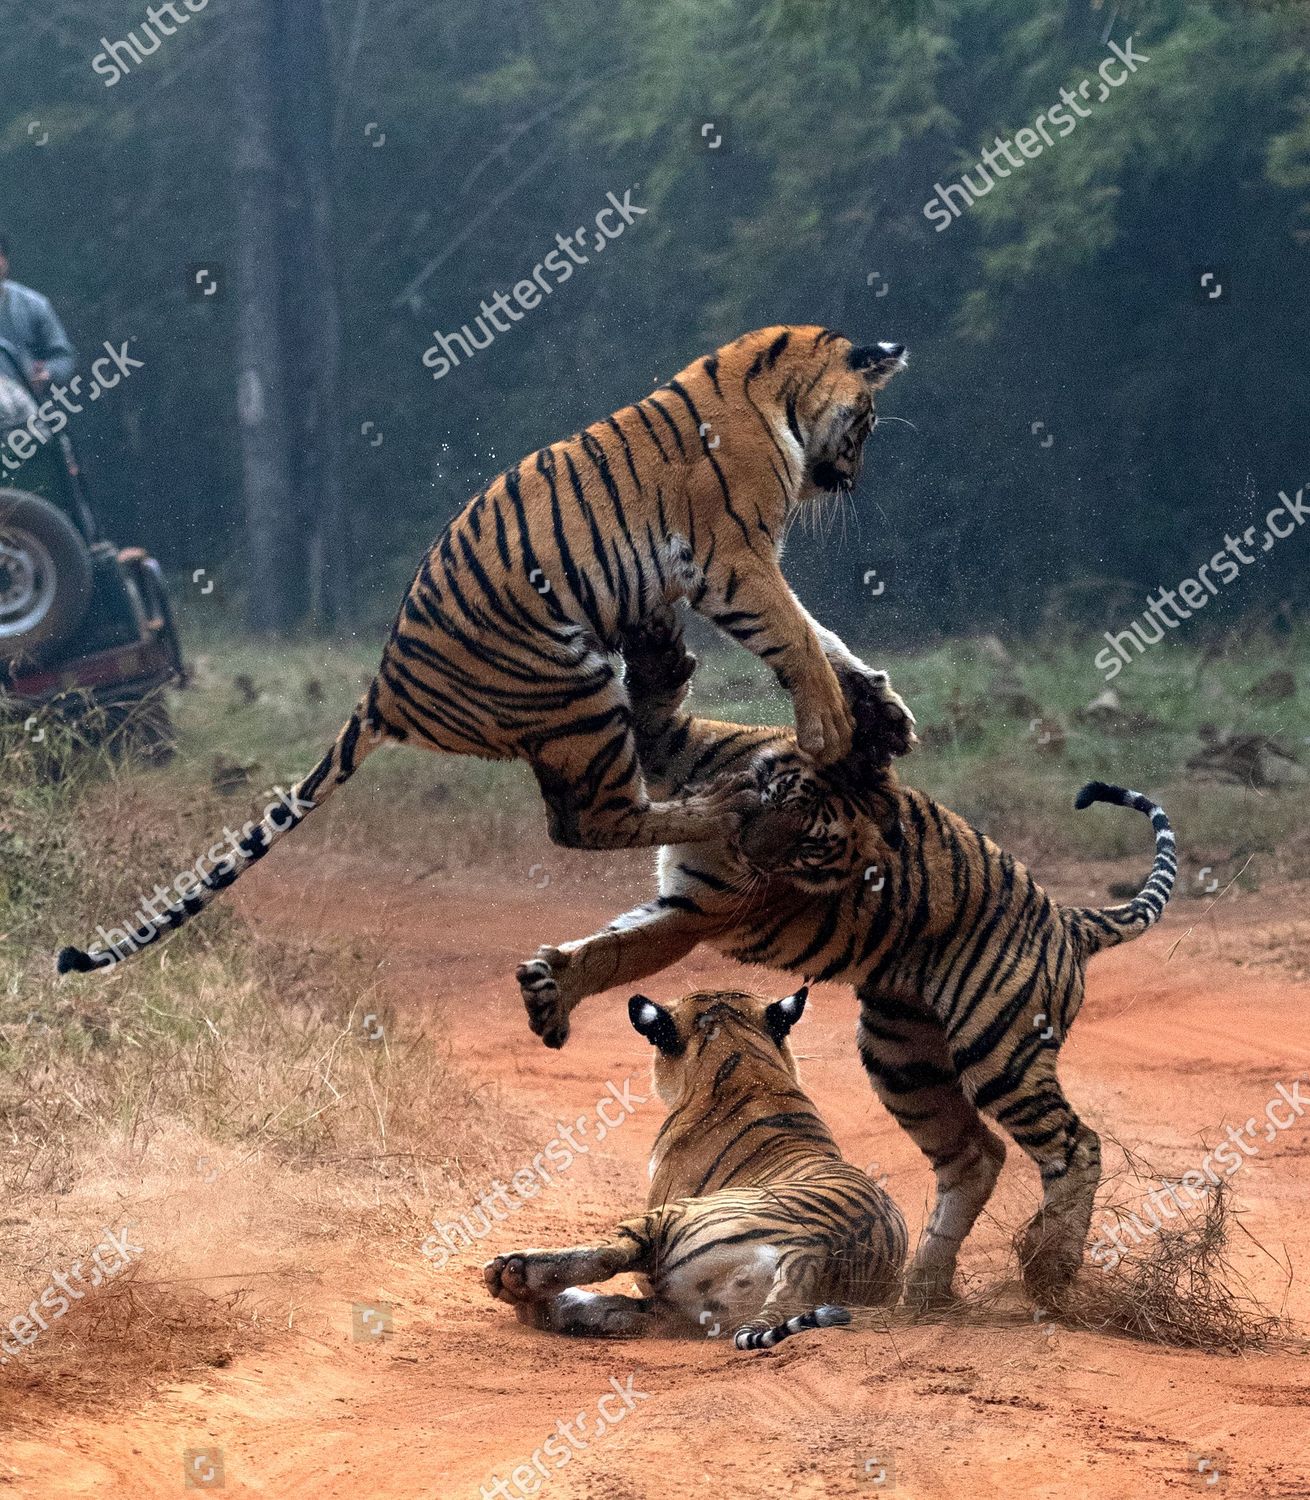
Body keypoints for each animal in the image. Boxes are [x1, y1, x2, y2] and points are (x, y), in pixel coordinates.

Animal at [58, 324, 912, 978]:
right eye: (868, 424)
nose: (853, 481)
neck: (774, 391)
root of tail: (384, 687)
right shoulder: (733, 563)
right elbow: (795, 633)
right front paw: (832, 728)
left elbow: (821, 633)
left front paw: (883, 711)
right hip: (576, 686)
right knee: (593, 821)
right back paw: (723, 804)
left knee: (587, 808)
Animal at [486, 984, 906, 1350]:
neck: (745, 1064)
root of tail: (811, 1253)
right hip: (688, 1309)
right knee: (616, 1313)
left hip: (668, 1220)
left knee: (609, 1257)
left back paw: (512, 1274)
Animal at [513, 615, 1176, 1308]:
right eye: (775, 795)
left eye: (811, 845)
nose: (747, 847)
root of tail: (1069, 919)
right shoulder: (683, 786)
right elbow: (648, 737)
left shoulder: (694, 913)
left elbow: (619, 951)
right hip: (901, 1057)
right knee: (975, 1154)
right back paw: (927, 1287)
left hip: (1001, 1049)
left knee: (1076, 1144)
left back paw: (1049, 1267)